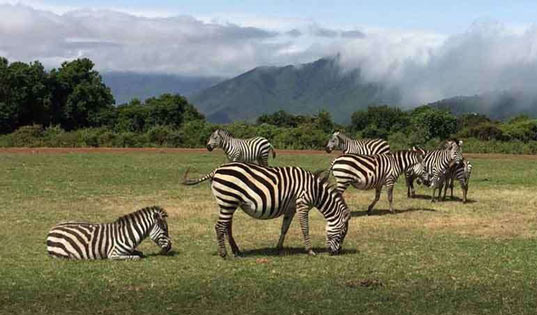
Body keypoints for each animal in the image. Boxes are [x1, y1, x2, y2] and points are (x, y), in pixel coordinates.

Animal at [183, 164, 352, 258]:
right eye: (343, 233)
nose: (336, 253)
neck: (316, 191)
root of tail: (216, 170)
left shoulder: (291, 208)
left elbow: (284, 228)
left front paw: (278, 248)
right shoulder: (302, 204)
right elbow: (305, 228)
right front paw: (310, 250)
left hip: (229, 203)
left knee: (226, 227)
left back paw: (236, 251)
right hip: (228, 201)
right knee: (219, 227)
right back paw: (223, 254)